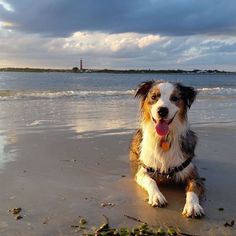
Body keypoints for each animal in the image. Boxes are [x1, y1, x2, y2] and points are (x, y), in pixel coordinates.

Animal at [129, 80, 205, 218]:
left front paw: (192, 206)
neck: (164, 138)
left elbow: (192, 189)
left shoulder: (194, 175)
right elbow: (151, 181)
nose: (162, 111)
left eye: (174, 98)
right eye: (154, 97)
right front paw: (157, 196)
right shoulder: (142, 171)